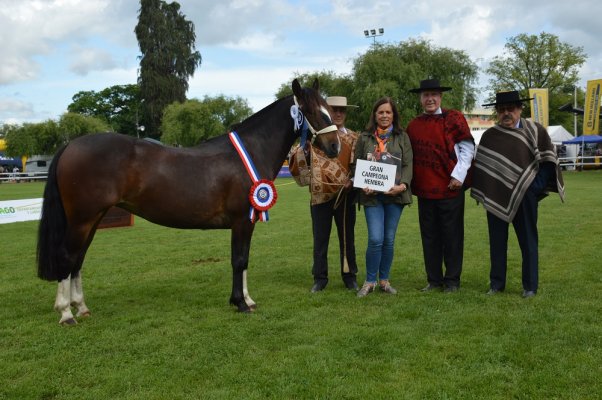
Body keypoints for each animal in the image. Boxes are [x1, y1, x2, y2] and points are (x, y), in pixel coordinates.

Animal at [36, 79, 338, 324]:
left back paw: (81, 308)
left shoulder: (248, 220)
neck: (251, 150)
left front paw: (247, 300)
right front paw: (240, 303)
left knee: (77, 260)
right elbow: (238, 260)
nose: (335, 146)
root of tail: (71, 145)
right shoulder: (242, 220)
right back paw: (66, 313)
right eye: (311, 111)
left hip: (93, 219)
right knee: (67, 258)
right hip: (82, 220)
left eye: (328, 109)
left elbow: (244, 260)